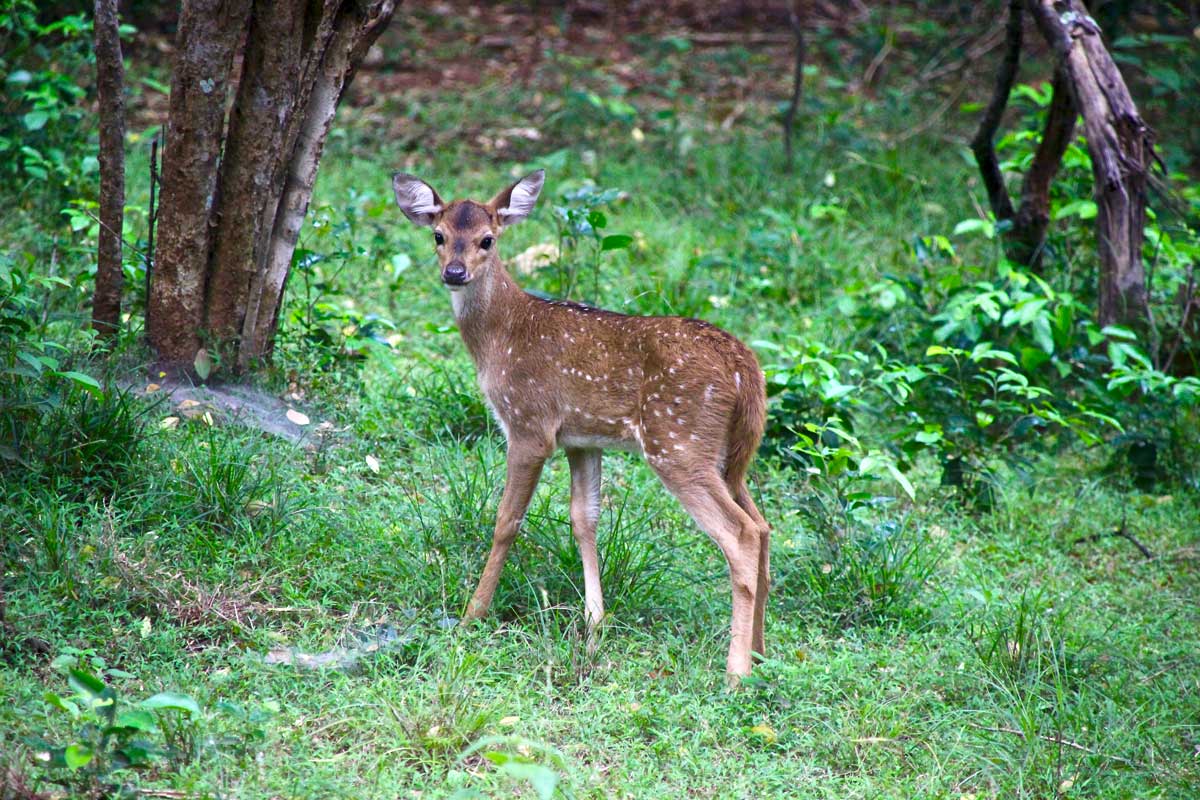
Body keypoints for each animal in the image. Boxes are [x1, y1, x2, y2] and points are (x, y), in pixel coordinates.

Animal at [391, 170, 768, 681]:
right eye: (438, 235)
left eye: (488, 239)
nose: (454, 272)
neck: (500, 337)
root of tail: (746, 368)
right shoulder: (582, 439)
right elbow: (584, 519)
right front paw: (594, 624)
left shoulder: (529, 424)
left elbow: (506, 521)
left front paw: (473, 614)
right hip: (730, 455)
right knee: (763, 525)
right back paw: (761, 652)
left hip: (678, 441)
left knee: (741, 534)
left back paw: (736, 672)